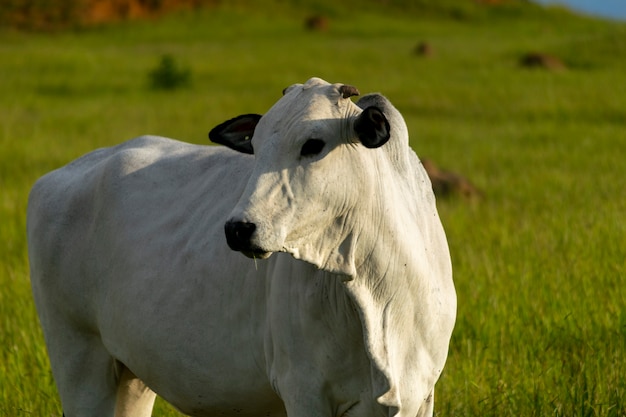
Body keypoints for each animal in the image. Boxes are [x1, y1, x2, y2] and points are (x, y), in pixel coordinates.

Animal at [28, 75, 454, 416]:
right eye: (257, 145)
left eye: (313, 144)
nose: (238, 229)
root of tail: (57, 175)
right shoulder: (304, 390)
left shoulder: (421, 396)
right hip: (78, 358)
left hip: (131, 375)